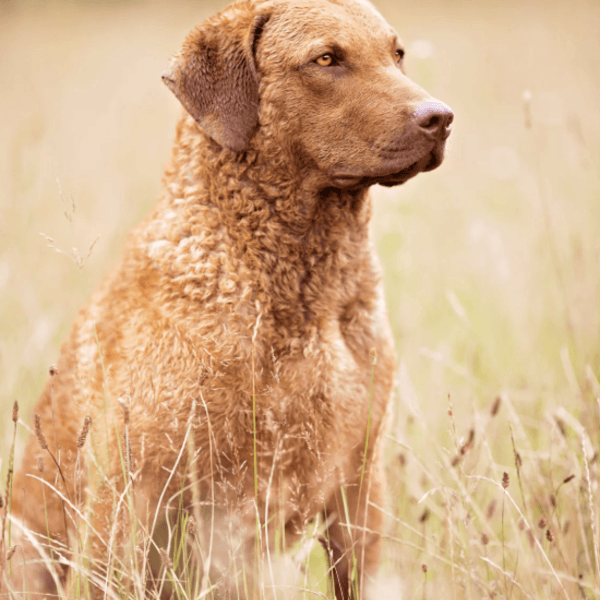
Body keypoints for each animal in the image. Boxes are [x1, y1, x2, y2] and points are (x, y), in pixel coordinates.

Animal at [7, 1, 452, 596]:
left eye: (397, 54)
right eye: (326, 58)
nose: (440, 117)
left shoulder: (361, 482)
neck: (305, 297)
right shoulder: (132, 491)